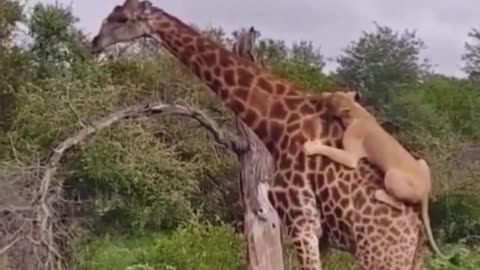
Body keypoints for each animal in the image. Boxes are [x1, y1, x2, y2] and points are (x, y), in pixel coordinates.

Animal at [92, 1, 426, 268]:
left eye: (121, 18)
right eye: (111, 13)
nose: (95, 42)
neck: (276, 125)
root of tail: (418, 232)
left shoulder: (302, 220)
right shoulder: (320, 234)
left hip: (379, 254)